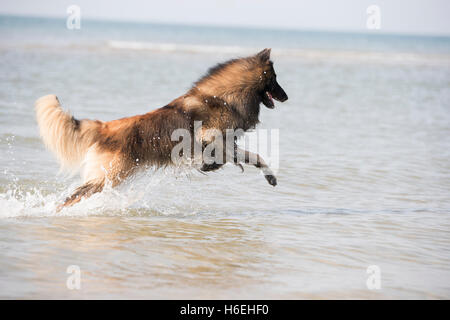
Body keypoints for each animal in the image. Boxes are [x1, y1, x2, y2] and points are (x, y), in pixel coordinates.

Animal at [35, 47, 288, 209]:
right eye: (274, 79)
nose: (286, 97)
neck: (225, 96)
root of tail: (105, 127)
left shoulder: (226, 142)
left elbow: (250, 157)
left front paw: (267, 176)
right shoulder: (209, 136)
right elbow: (236, 155)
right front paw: (211, 165)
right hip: (109, 177)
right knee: (72, 197)